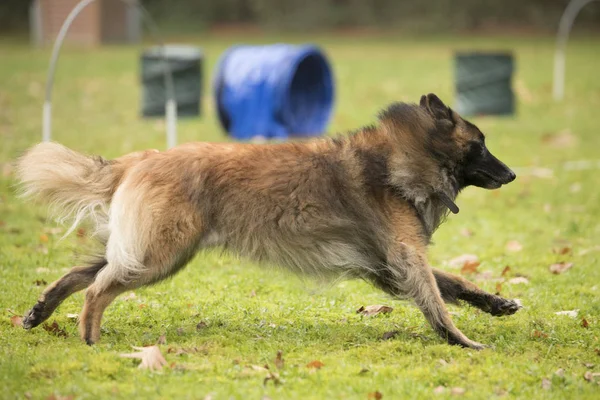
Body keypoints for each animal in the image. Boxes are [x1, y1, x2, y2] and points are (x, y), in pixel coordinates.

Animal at [15, 93, 520, 346]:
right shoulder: (403, 257)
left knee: (81, 274)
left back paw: (41, 312)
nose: (513, 173)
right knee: (97, 289)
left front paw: (496, 303)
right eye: (481, 145)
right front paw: (461, 341)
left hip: (145, 251)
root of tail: (143, 158)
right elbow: (435, 297)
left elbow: (454, 284)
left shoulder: (386, 265)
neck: (399, 158)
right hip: (157, 257)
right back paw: (89, 338)